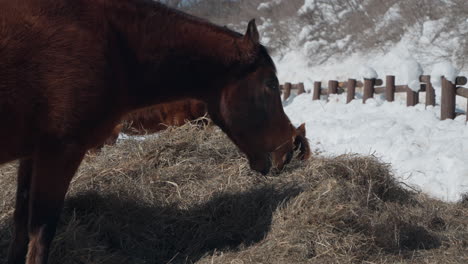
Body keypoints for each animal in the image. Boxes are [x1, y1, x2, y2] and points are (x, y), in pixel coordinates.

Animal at [0, 1, 300, 262]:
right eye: (271, 84)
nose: (287, 151)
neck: (113, 44)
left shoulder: (33, 154)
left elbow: (21, 228)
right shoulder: (61, 151)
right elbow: (41, 232)